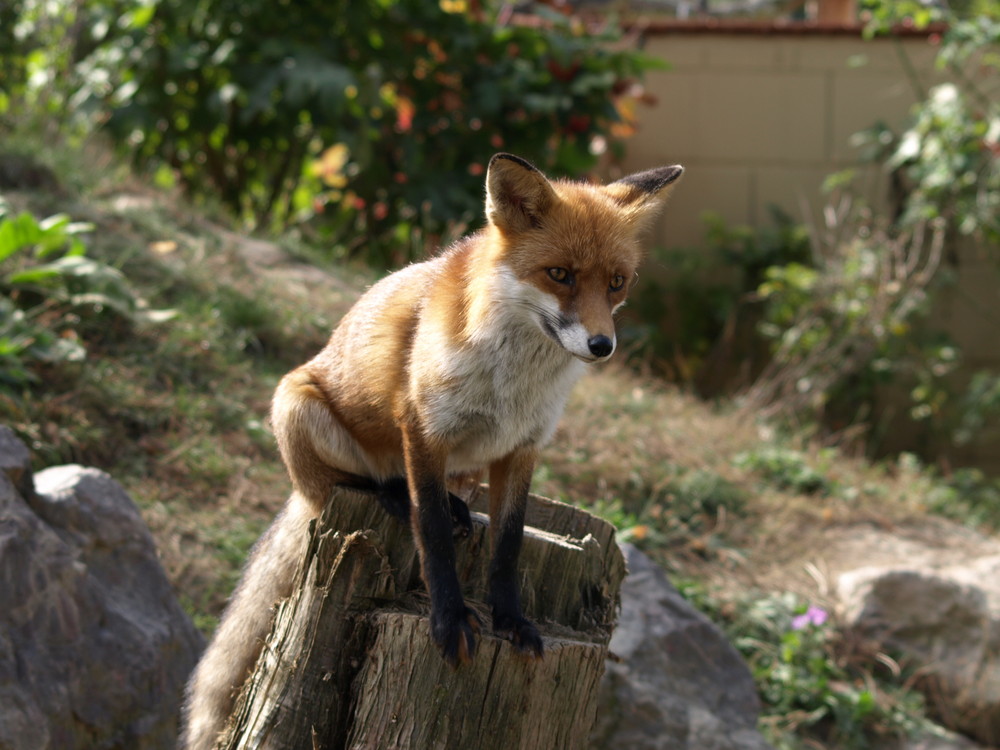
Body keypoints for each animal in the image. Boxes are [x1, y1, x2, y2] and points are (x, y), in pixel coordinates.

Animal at [180, 154, 684, 750]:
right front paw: (450, 621)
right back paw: (393, 496)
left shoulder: (522, 448)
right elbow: (434, 534)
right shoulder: (424, 429)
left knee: (449, 497)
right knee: (352, 485)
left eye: (616, 283)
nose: (602, 346)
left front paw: (511, 620)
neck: (512, 383)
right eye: (559, 274)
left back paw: (463, 508)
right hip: (296, 406)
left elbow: (508, 545)